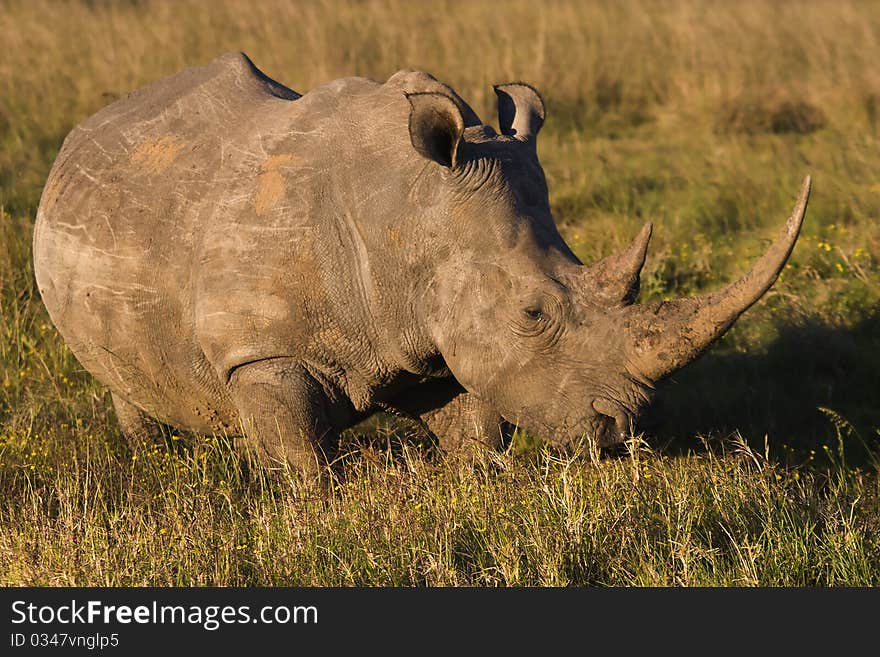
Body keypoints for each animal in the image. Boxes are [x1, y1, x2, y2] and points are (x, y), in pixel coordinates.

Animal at [31, 52, 812, 476]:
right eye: (533, 313)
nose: (622, 431)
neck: (411, 212)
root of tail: (89, 126)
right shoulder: (258, 350)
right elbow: (303, 463)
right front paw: (317, 523)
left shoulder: (436, 328)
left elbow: (477, 434)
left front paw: (476, 486)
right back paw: (154, 460)